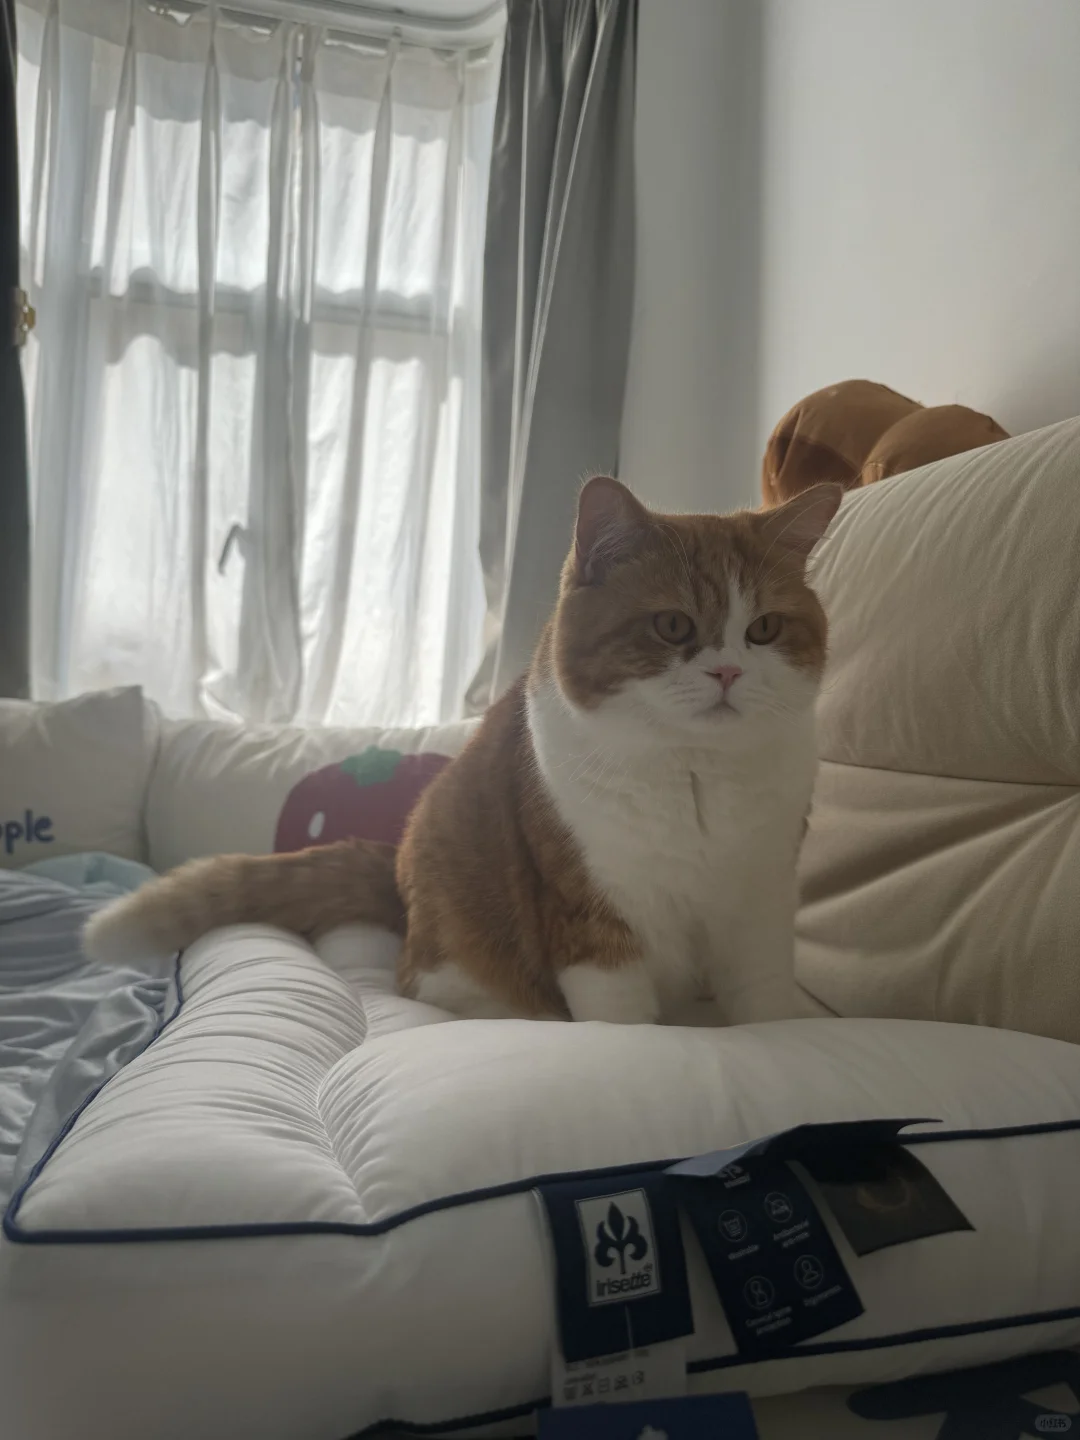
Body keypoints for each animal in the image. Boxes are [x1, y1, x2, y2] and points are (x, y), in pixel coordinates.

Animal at [84, 476, 842, 1025]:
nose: (729, 672)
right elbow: (619, 1019)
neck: (695, 776)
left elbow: (765, 1000)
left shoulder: (761, 897)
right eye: (674, 626)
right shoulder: (590, 913)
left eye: (766, 628)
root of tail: (397, 873)